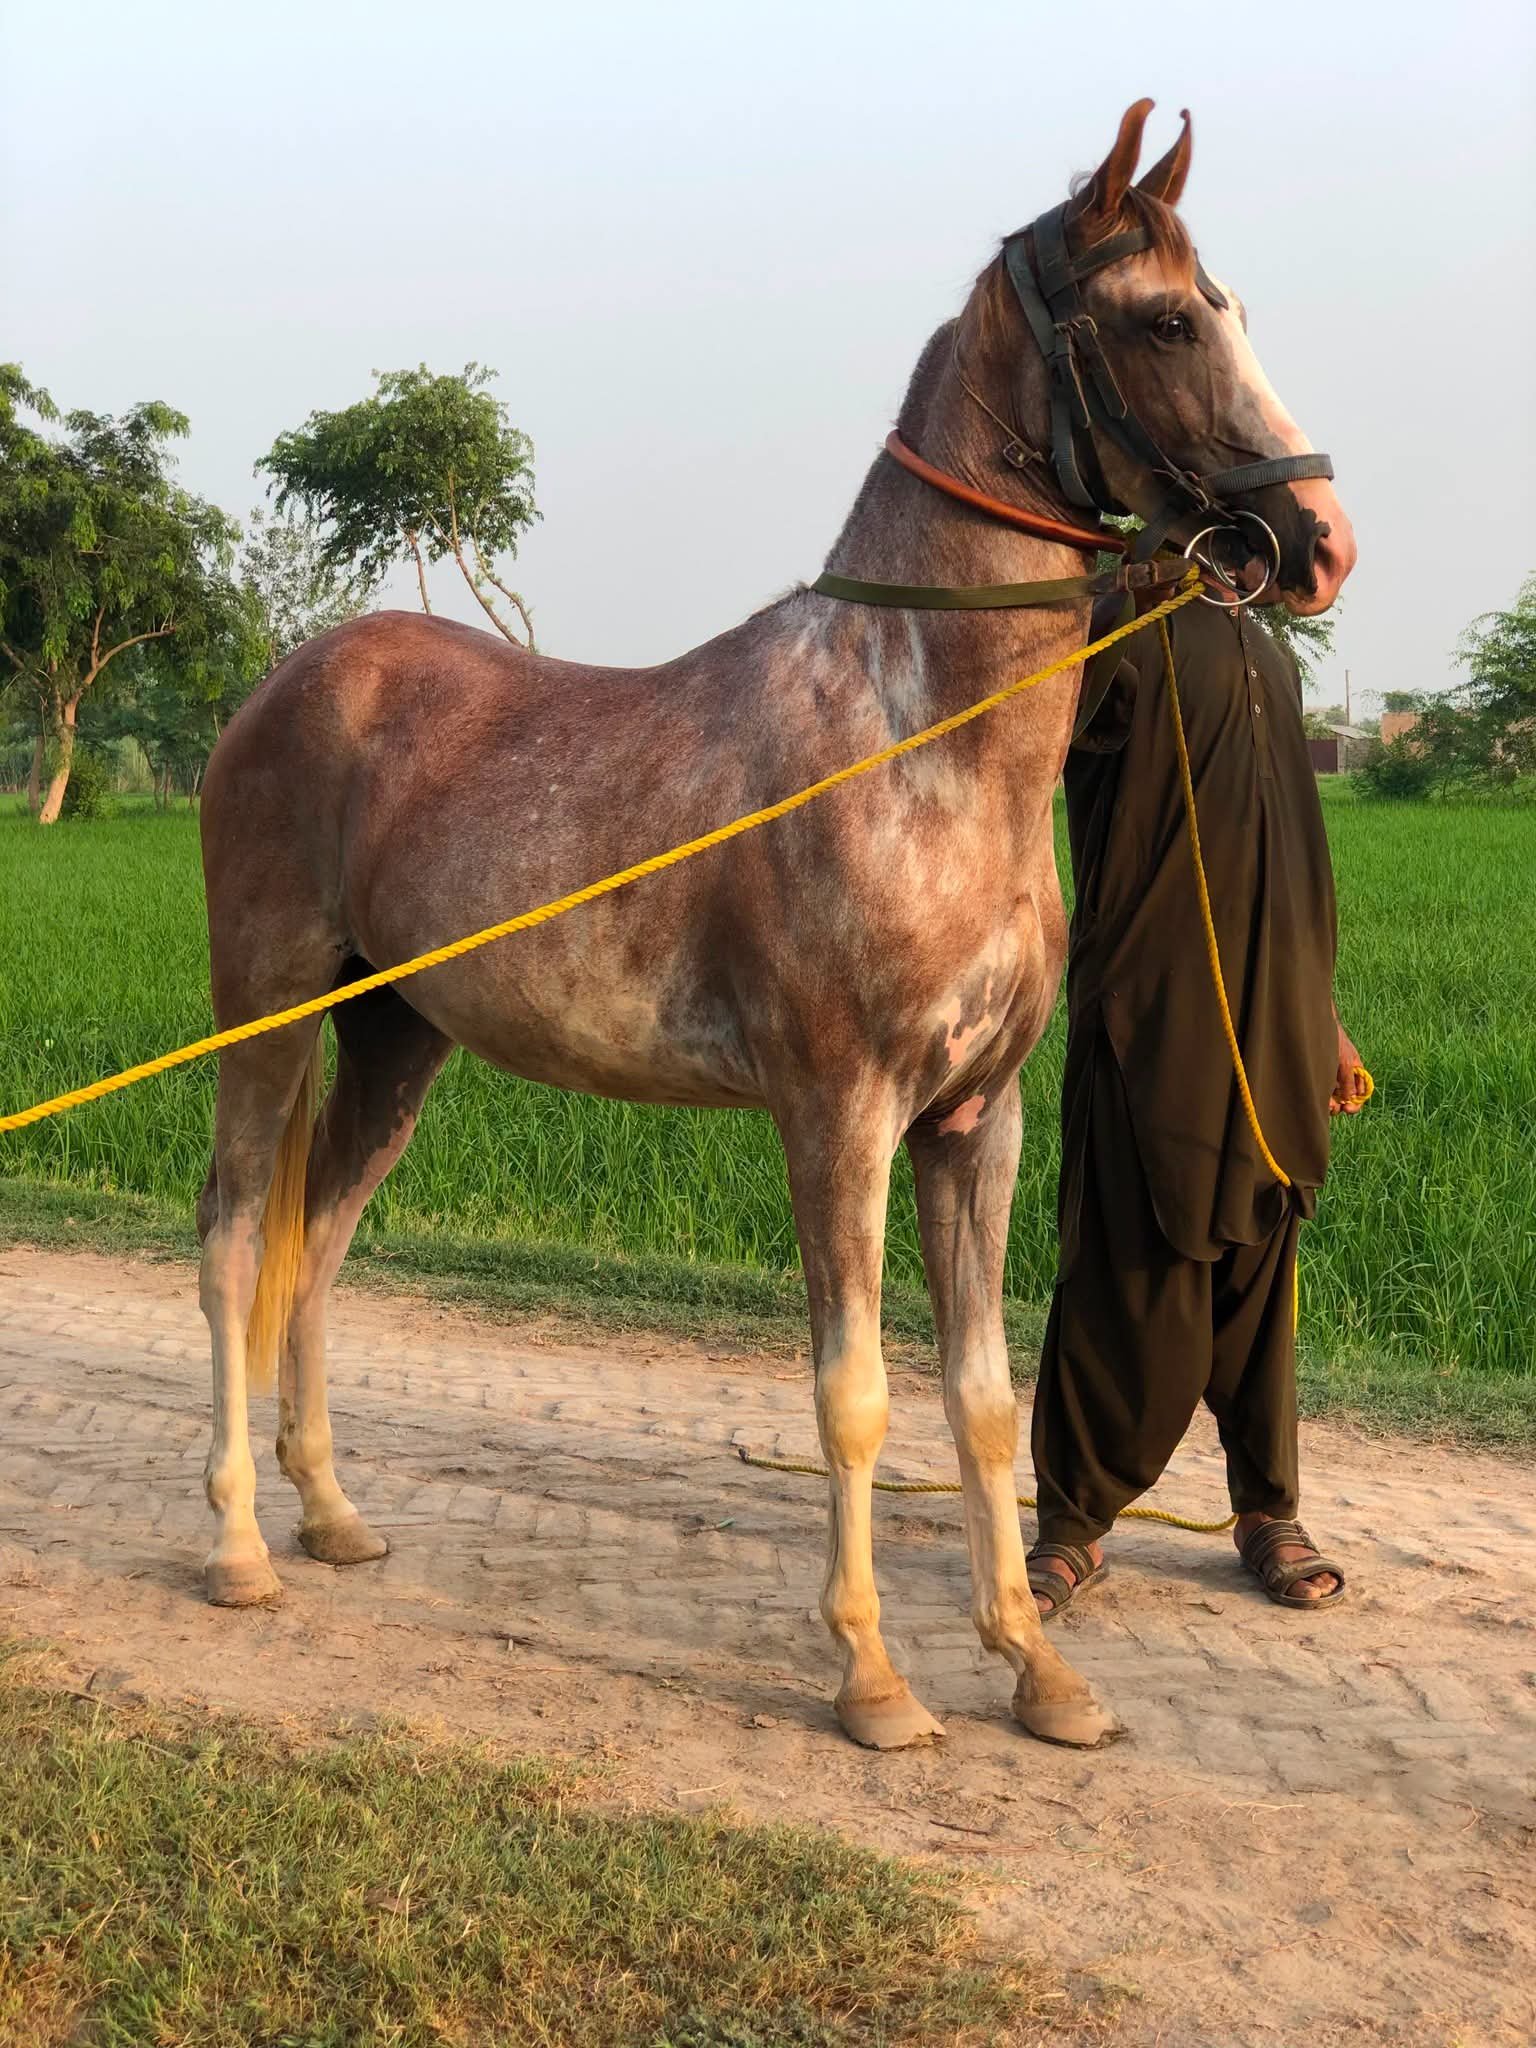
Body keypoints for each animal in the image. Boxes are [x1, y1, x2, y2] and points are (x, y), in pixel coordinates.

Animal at [195, 99, 1355, 1753]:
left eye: (1226, 306)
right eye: (1167, 319)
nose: (1319, 541)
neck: (919, 735)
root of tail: (289, 682)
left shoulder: (976, 1121)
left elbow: (982, 1400)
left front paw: (1036, 1668)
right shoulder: (839, 1113)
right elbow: (853, 1395)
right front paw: (873, 1679)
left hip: (394, 1042)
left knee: (322, 1242)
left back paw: (334, 1515)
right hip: (271, 1013)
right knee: (238, 1241)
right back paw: (237, 1545)